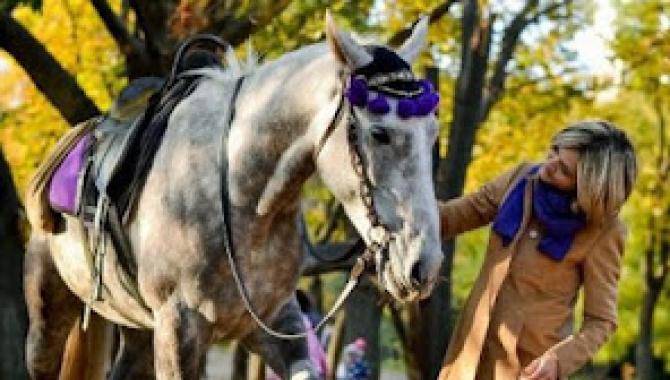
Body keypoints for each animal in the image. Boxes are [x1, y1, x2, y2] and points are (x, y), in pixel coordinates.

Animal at [23, 13, 446, 378]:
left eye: (432, 132)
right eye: (379, 133)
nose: (423, 266)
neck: (242, 196)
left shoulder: (274, 320)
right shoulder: (179, 327)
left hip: (139, 329)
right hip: (49, 315)